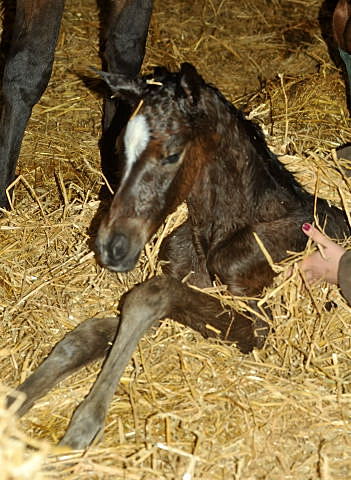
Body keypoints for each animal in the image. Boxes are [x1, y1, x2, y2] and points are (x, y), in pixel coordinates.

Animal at [9, 63, 350, 450]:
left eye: (171, 154)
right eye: (118, 147)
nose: (112, 246)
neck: (221, 231)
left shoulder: (262, 328)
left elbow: (151, 295)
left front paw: (85, 422)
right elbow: (88, 335)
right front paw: (14, 404)